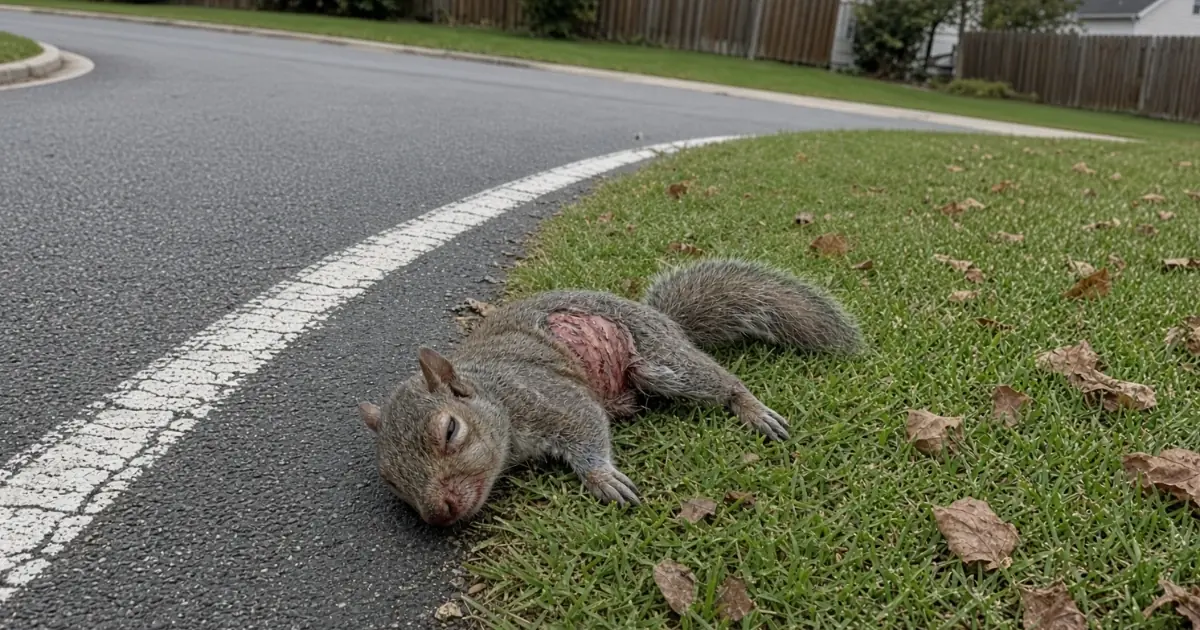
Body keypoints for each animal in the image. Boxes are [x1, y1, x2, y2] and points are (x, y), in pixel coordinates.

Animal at [357, 258, 863, 526]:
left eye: (449, 431)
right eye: (391, 480)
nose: (439, 513)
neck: (492, 393)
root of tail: (668, 322)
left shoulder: (549, 397)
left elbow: (585, 427)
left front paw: (602, 478)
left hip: (662, 361)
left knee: (721, 383)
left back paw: (753, 409)